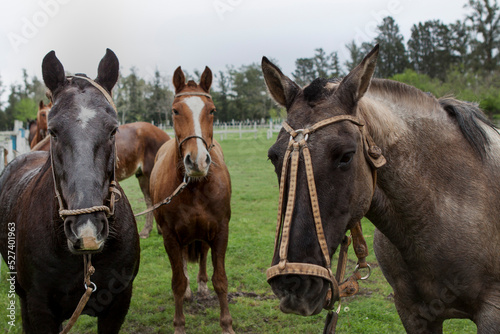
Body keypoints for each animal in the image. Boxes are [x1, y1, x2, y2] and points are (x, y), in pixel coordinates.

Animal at [148, 66, 234, 332]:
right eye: (176, 111)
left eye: (212, 110)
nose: (197, 161)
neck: (195, 187)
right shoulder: (170, 236)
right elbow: (177, 282)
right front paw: (179, 325)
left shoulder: (220, 230)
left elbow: (221, 280)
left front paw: (227, 325)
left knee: (203, 254)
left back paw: (202, 285)